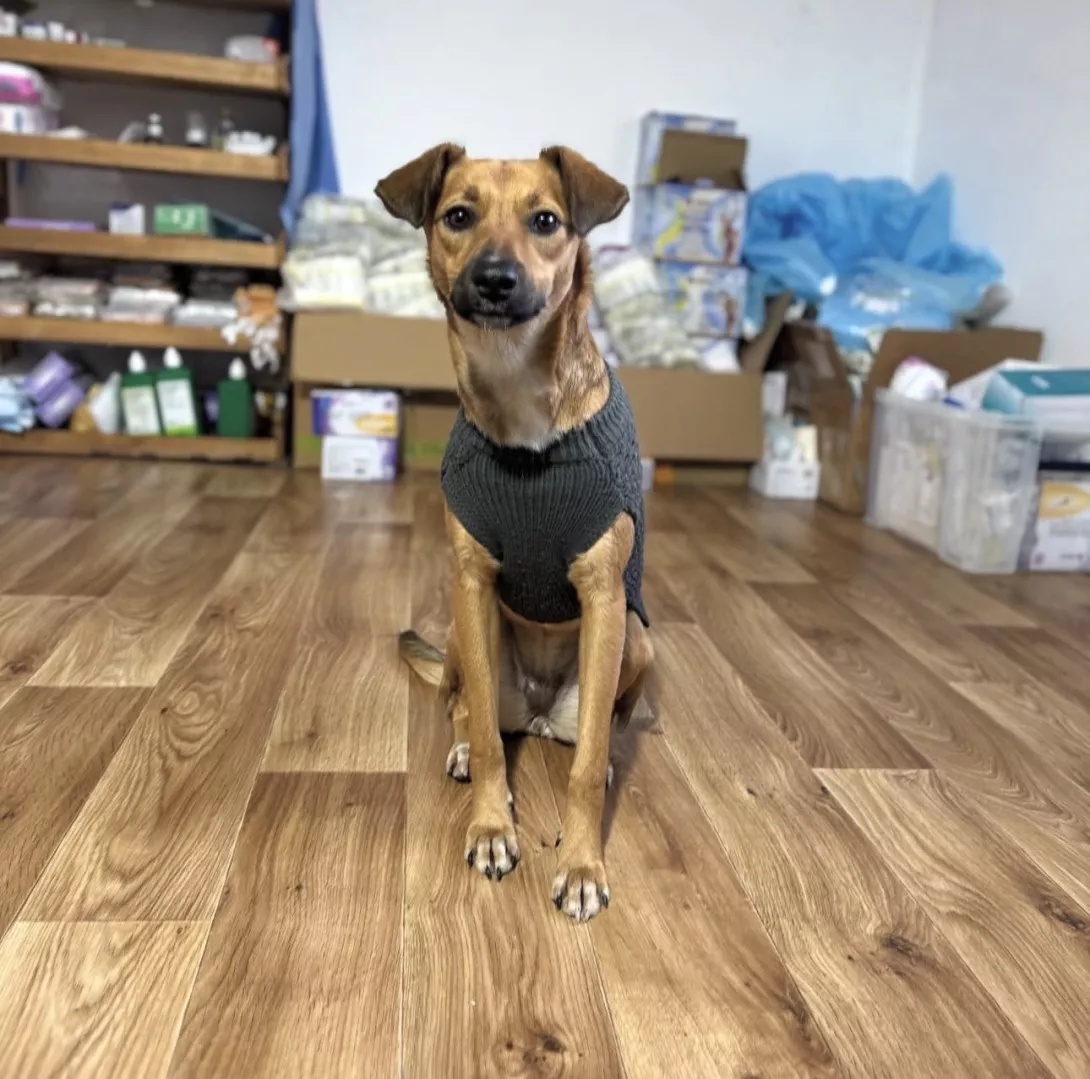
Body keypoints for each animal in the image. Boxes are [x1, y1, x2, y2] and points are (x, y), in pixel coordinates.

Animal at [376, 144, 653, 922]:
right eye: (457, 215)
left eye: (547, 221)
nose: (495, 280)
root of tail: (534, 713)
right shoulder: (471, 582)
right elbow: (491, 752)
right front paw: (493, 826)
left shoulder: (603, 597)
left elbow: (583, 771)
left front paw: (583, 863)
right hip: (465, 640)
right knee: (467, 710)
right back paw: (470, 748)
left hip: (636, 638)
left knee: (600, 727)